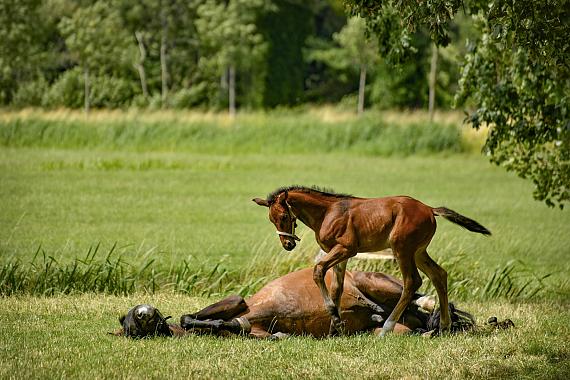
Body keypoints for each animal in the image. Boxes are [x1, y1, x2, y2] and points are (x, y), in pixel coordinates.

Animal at [253, 187, 488, 336]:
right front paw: (335, 327)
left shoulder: (345, 249)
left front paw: (335, 319)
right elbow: (337, 288)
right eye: (271, 219)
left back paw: (387, 328)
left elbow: (318, 270)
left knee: (413, 281)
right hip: (419, 252)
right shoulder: (340, 255)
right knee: (439, 275)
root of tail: (430, 209)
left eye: (285, 216)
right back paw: (445, 326)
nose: (287, 244)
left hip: (402, 249)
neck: (327, 213)